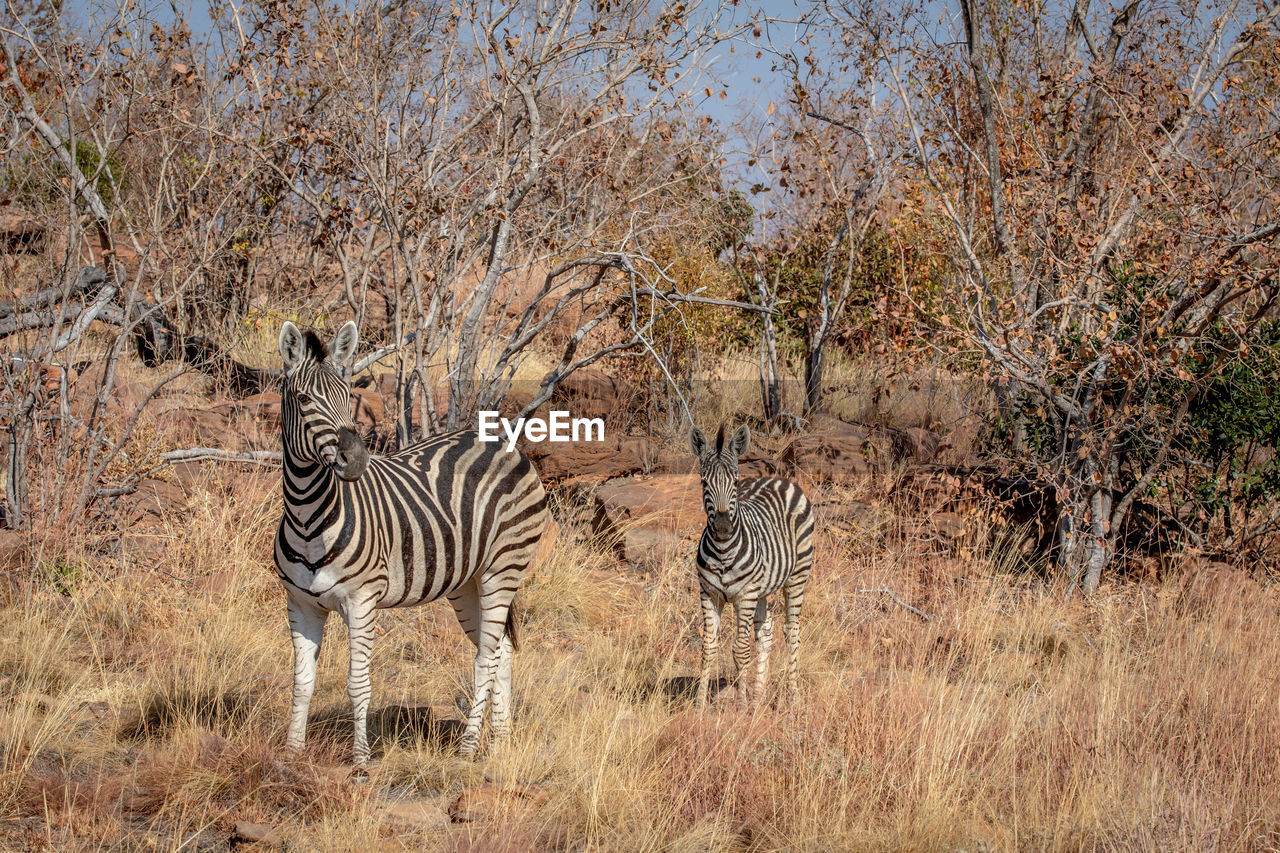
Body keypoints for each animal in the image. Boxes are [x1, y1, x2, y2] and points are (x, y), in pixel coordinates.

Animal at [275, 322, 545, 758]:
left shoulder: (362, 601)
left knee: (485, 657)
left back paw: (469, 747)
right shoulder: (300, 604)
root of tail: (499, 441)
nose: (356, 459)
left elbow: (358, 685)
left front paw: (361, 760)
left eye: (347, 395)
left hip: (504, 566)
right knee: (500, 651)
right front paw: (291, 754)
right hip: (467, 581)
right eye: (302, 399)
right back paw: (501, 742)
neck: (308, 517)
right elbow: (301, 684)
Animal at [696, 422, 814, 706]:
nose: (724, 526)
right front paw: (700, 705)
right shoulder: (708, 593)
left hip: (797, 576)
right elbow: (708, 647)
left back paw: (793, 697)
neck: (723, 552)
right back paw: (759, 697)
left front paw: (740, 704)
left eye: (735, 481)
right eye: (704, 482)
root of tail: (779, 478)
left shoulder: (745, 595)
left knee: (792, 632)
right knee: (766, 635)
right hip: (763, 588)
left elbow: (740, 650)